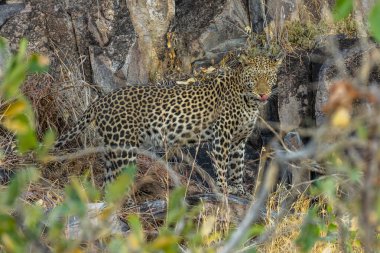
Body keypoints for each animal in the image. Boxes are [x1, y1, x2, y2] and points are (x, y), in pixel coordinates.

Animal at [55, 54, 282, 196]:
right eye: (254, 78)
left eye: (269, 78)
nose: (264, 94)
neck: (249, 102)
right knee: (118, 180)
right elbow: (223, 169)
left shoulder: (238, 141)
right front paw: (225, 191)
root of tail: (101, 100)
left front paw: (240, 191)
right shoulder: (222, 140)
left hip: (112, 148)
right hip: (124, 149)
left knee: (109, 182)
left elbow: (238, 167)